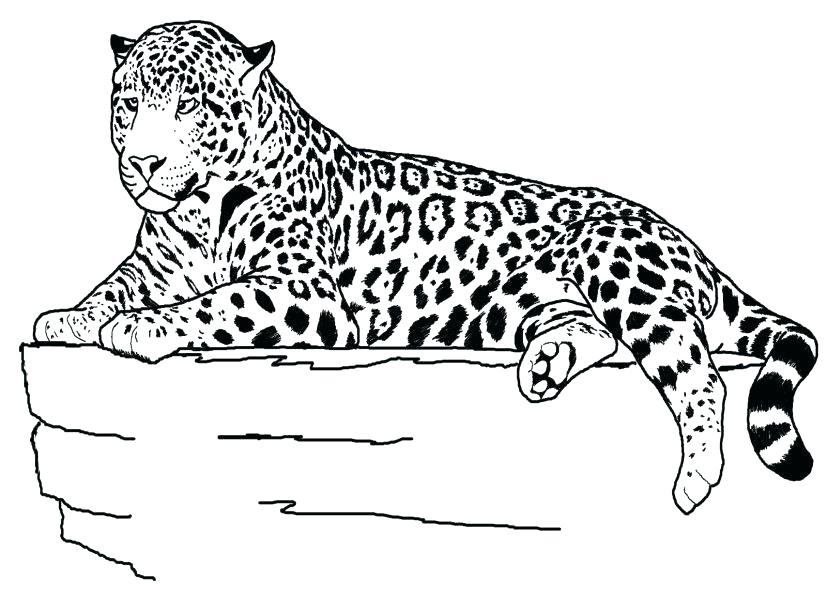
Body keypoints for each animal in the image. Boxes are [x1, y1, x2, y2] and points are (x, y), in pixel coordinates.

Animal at [34, 21, 818, 514]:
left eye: (191, 105)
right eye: (129, 105)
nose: (142, 161)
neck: (198, 216)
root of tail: (690, 245)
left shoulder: (305, 293)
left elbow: (215, 305)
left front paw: (142, 328)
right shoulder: (153, 263)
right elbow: (112, 286)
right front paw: (68, 317)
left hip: (619, 267)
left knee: (695, 369)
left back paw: (696, 474)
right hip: (541, 303)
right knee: (600, 334)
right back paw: (545, 365)